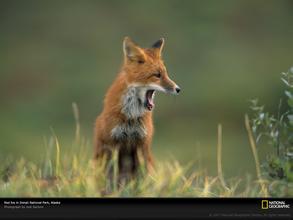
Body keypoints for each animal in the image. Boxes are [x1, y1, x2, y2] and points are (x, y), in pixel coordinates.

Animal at [93, 37, 180, 180]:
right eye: (157, 75)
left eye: (166, 74)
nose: (178, 89)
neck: (131, 117)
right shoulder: (112, 144)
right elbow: (112, 175)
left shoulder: (142, 144)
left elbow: (143, 177)